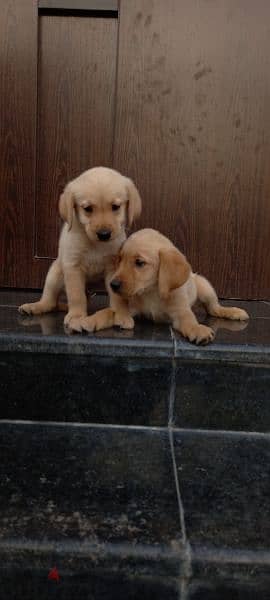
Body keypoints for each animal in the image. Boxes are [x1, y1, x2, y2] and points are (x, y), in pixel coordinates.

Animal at [17, 166, 141, 330]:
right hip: (54, 274)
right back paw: (35, 307)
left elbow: (117, 296)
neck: (95, 244)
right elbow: (76, 296)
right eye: (87, 208)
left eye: (115, 207)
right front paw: (76, 316)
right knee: (50, 301)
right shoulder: (73, 267)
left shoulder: (113, 269)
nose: (104, 234)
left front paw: (121, 315)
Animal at [81, 229, 249, 344]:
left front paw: (197, 329)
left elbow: (189, 320)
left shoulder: (180, 311)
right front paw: (89, 320)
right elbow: (108, 312)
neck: (151, 291)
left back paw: (233, 311)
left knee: (213, 308)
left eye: (139, 263)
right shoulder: (130, 308)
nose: (113, 285)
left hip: (205, 287)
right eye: (120, 260)